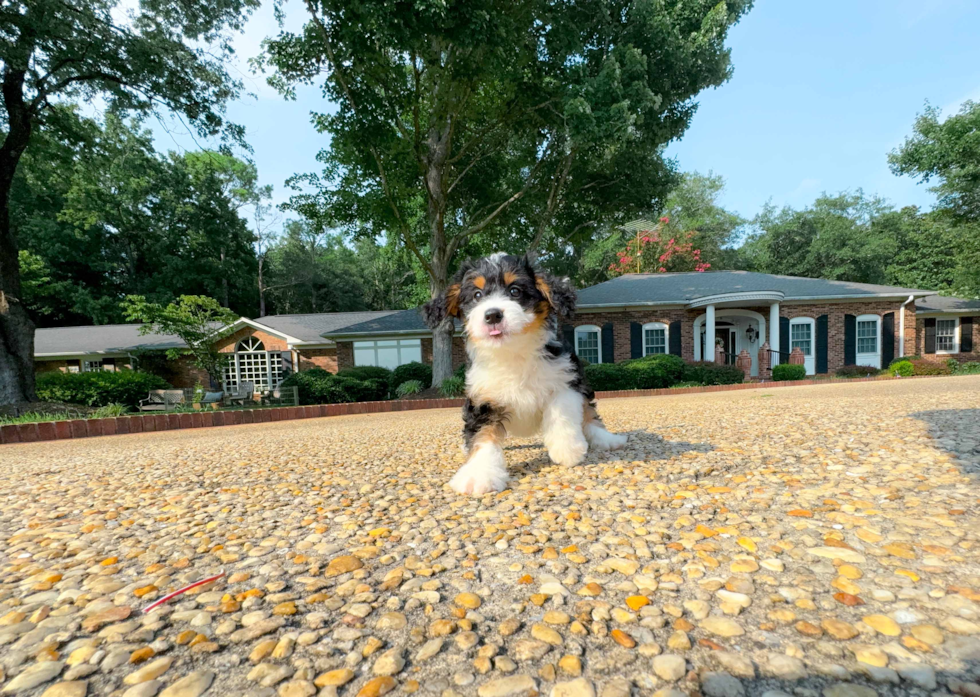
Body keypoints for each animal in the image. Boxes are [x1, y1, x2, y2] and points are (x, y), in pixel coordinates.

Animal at [422, 251, 628, 494]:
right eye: (477, 295)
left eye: (515, 291)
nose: (492, 315)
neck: (513, 352)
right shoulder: (482, 399)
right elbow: (483, 436)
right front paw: (479, 474)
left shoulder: (566, 376)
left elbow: (562, 411)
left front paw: (567, 448)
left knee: (589, 412)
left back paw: (606, 439)